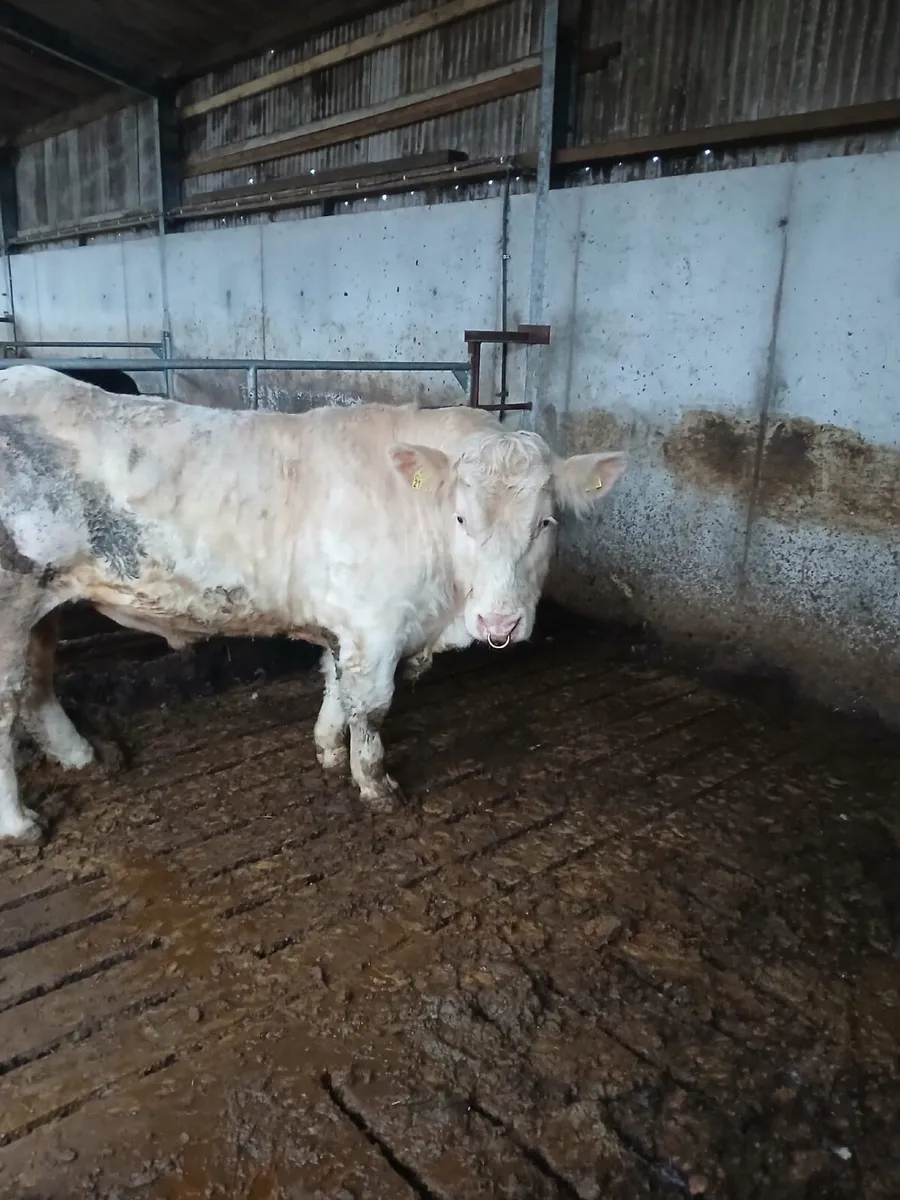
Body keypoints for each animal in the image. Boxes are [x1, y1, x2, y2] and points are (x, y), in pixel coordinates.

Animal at [0, 364, 627, 841]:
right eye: (460, 518)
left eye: (545, 522)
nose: (500, 621)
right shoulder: (376, 628)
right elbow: (369, 707)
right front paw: (375, 785)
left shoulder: (346, 622)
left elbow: (334, 683)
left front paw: (327, 750)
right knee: (8, 705)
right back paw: (21, 825)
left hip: (46, 606)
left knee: (36, 689)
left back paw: (85, 756)